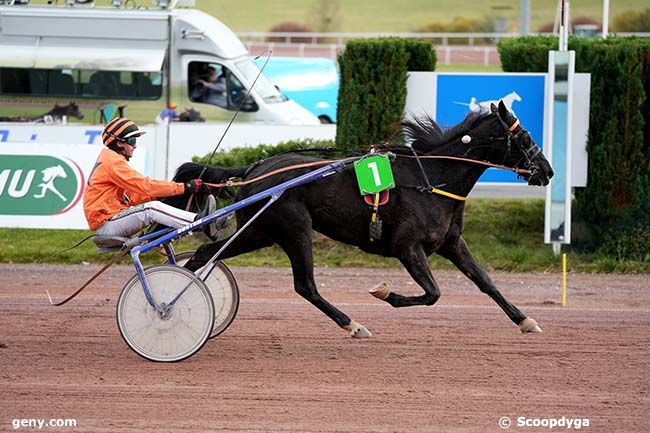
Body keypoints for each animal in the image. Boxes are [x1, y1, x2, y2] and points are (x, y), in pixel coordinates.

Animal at [170, 102, 548, 338]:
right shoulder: (407, 246)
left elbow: (486, 282)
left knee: (204, 254)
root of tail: (255, 168)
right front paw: (386, 293)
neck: (432, 179)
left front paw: (525, 320)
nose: (548, 170)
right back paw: (352, 324)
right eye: (524, 137)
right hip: (293, 228)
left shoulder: (451, 242)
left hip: (260, 231)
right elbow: (433, 293)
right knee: (305, 285)